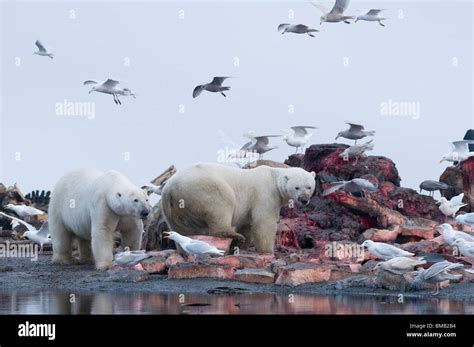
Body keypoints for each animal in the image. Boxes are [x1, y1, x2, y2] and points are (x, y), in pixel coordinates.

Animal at [161, 162, 316, 254]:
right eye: (297, 187)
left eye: (309, 186)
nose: (304, 200)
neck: (273, 177)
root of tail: (170, 189)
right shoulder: (264, 194)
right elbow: (264, 223)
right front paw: (267, 251)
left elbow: (246, 224)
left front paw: (243, 245)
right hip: (204, 189)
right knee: (221, 205)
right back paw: (233, 235)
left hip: (174, 210)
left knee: (182, 229)